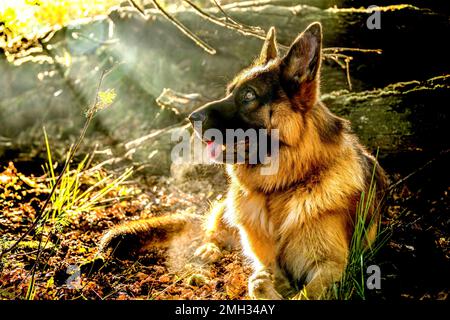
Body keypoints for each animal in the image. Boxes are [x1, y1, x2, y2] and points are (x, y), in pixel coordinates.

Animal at [100, 23, 388, 300]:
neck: (283, 187)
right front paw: (269, 285)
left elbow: (302, 294)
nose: (191, 118)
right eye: (229, 92)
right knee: (213, 231)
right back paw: (210, 249)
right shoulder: (268, 258)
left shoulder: (333, 266)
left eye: (248, 95)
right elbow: (262, 274)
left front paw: (274, 288)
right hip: (229, 208)